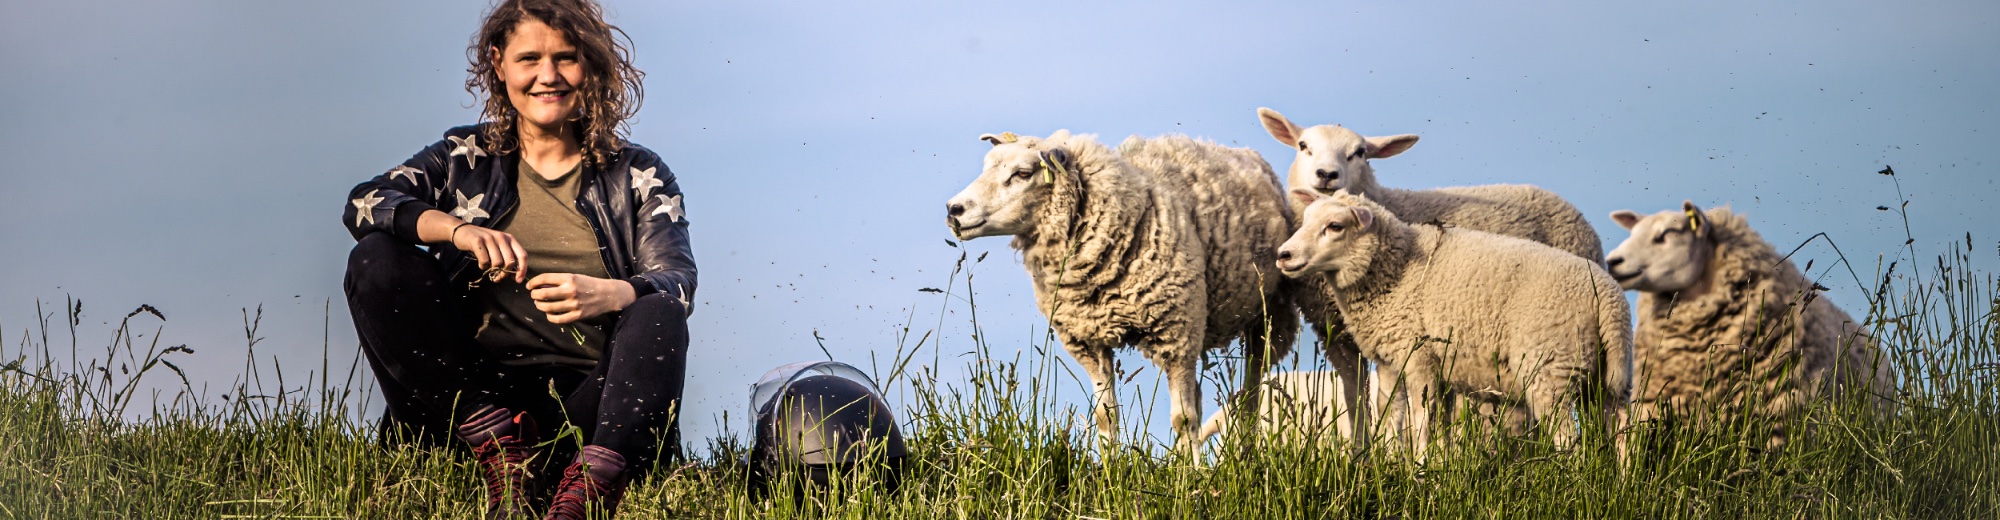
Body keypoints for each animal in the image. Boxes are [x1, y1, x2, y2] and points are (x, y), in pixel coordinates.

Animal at [940, 130, 1296, 456]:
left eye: (1023, 173)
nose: (954, 209)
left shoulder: (1177, 333)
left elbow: (1183, 419)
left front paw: (1191, 476)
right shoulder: (1088, 340)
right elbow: (1105, 416)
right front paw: (1111, 470)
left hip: (1266, 318)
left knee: (1249, 396)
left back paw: (1242, 456)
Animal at [1272, 189, 1632, 462]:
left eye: (1335, 226)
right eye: (1305, 220)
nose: (1283, 255)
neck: (1397, 270)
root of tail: (1610, 300)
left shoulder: (1420, 358)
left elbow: (1420, 420)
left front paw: (1419, 467)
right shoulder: (1393, 360)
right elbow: (1393, 414)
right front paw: (1401, 464)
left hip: (1551, 368)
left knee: (1568, 438)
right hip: (1606, 376)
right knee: (1621, 430)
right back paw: (1621, 480)